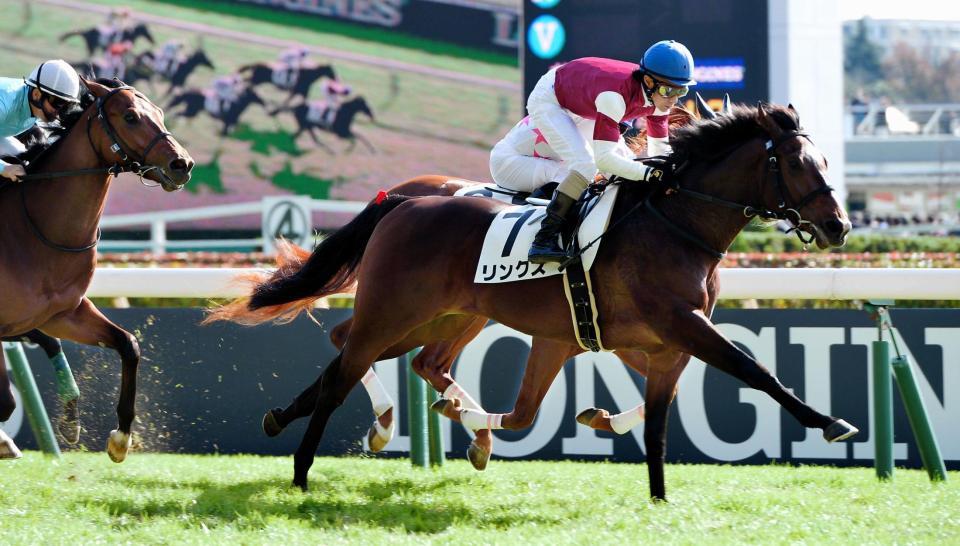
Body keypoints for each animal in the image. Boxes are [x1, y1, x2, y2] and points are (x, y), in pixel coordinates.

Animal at [0, 77, 194, 462]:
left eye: (159, 112)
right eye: (131, 116)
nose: (183, 163)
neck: (35, 228)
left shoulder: (61, 313)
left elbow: (128, 344)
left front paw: (121, 438)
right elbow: (5, 401)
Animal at [208, 102, 856, 500]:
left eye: (826, 160)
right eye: (797, 162)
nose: (839, 226)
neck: (674, 223)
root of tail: (404, 201)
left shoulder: (639, 339)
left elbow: (653, 415)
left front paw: (649, 484)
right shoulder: (681, 324)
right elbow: (755, 370)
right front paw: (828, 422)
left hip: (440, 316)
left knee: (367, 355)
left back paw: (292, 419)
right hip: (395, 311)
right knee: (348, 366)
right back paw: (308, 468)